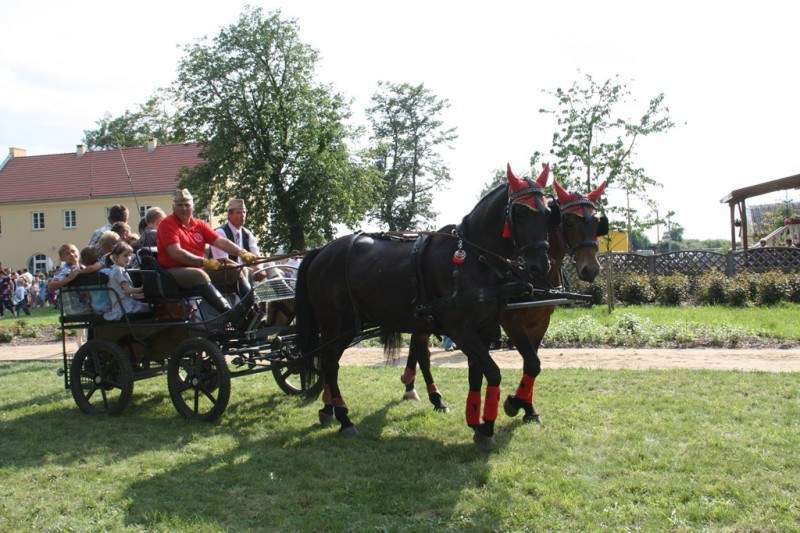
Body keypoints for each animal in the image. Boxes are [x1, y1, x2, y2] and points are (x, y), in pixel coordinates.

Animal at [295, 164, 559, 446]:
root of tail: (321, 251)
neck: (473, 258)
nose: (539, 265)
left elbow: (489, 371)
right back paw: (343, 417)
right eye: (519, 212)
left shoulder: (487, 327)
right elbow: (493, 372)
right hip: (338, 326)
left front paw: (480, 419)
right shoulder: (460, 329)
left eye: (548, 214)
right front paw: (487, 427)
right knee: (330, 365)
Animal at [399, 179, 608, 424]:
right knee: (422, 353)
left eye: (597, 222)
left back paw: (415, 387)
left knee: (418, 348)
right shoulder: (510, 320)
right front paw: (515, 403)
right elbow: (531, 362)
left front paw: (527, 407)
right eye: (569, 221)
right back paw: (425, 393)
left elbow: (532, 363)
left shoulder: (540, 321)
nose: (591, 269)